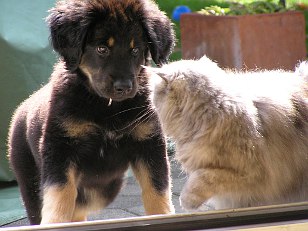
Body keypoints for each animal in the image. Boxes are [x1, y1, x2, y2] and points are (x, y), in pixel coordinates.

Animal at [7, 0, 174, 224]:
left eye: (135, 50)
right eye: (102, 49)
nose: (124, 87)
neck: (108, 107)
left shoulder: (149, 142)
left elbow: (157, 190)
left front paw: (164, 216)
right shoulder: (60, 147)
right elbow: (60, 194)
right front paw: (55, 223)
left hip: (104, 187)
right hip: (30, 179)